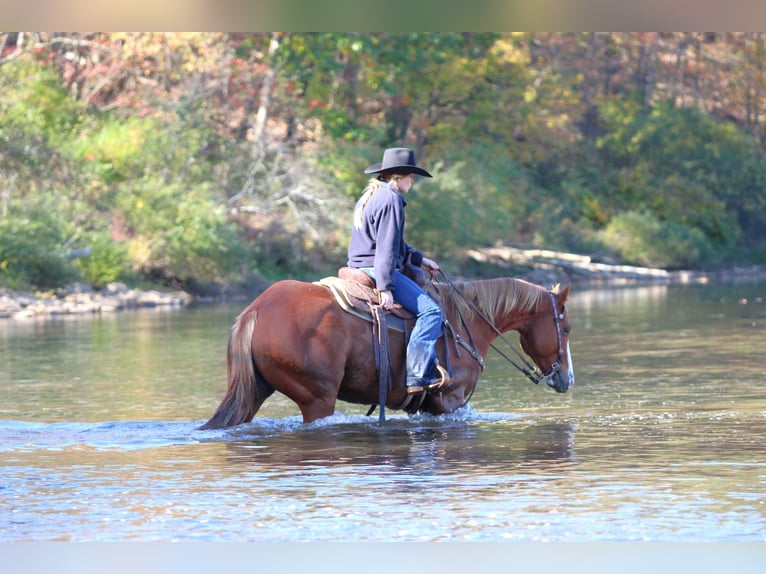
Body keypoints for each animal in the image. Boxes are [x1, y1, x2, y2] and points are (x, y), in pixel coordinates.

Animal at [199, 275, 574, 429]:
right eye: (567, 328)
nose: (567, 378)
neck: (464, 322)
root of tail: (256, 310)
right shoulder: (450, 401)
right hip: (317, 399)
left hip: (255, 391)